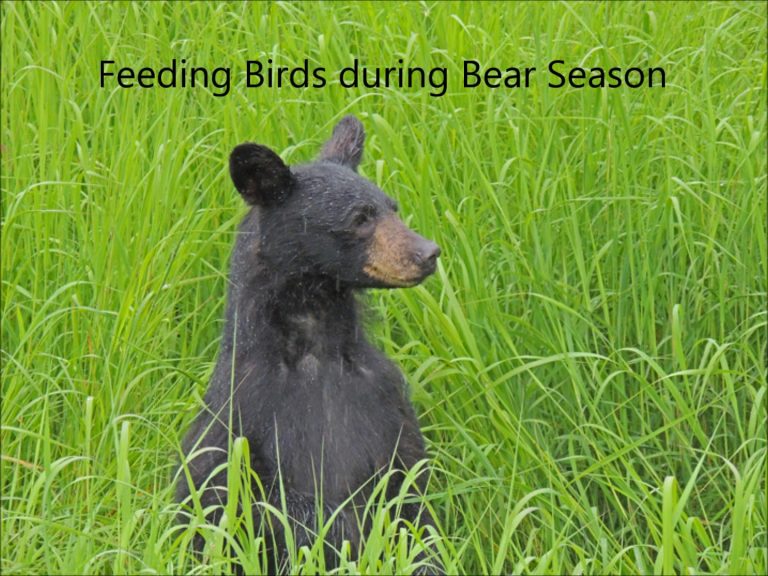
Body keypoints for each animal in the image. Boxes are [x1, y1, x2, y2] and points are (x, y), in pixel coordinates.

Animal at [175, 115, 442, 573]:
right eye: (360, 218)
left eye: (392, 207)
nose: (428, 252)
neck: (315, 349)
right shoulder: (242, 420)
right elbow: (225, 512)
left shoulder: (389, 403)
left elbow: (415, 507)